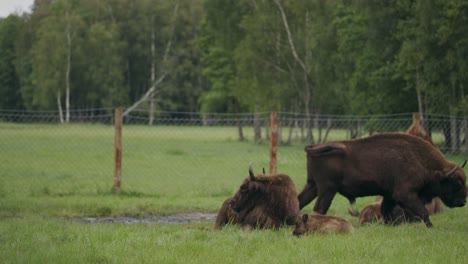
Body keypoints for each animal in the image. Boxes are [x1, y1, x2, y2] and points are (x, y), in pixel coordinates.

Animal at [298, 133, 466, 228]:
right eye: (457, 183)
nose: (463, 201)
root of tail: (313, 147)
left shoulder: (390, 195)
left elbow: (386, 211)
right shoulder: (405, 194)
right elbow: (423, 211)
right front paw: (430, 227)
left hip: (312, 185)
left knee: (300, 201)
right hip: (327, 189)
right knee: (319, 208)